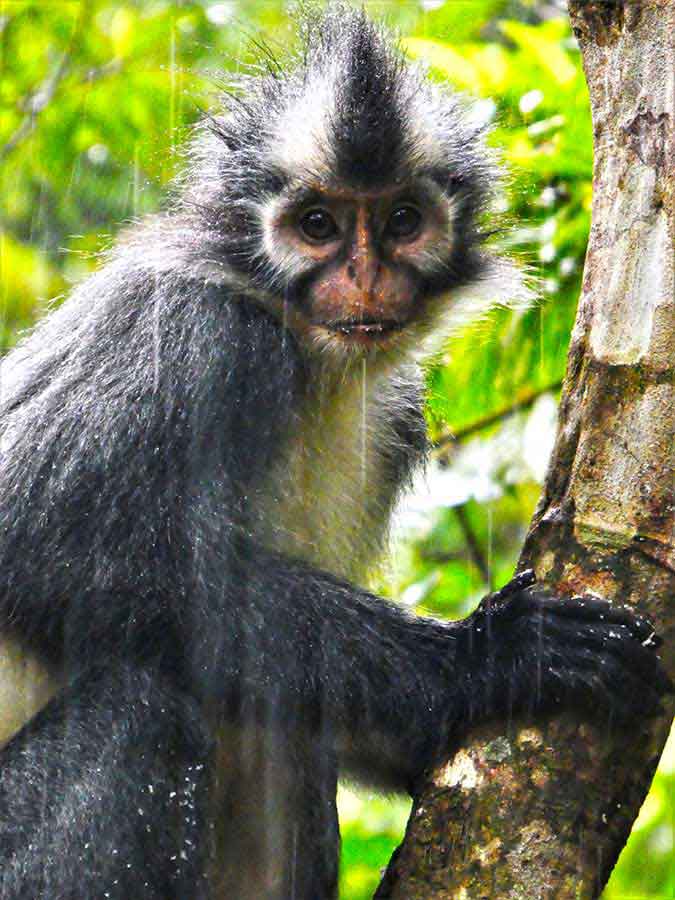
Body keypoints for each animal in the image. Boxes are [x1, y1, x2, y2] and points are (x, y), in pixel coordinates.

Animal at [0, 6, 669, 899]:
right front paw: (481, 659)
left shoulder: (390, 415)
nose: (363, 277)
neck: (313, 356)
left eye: (400, 222)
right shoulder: (189, 334)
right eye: (316, 225)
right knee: (139, 710)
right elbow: (40, 539)